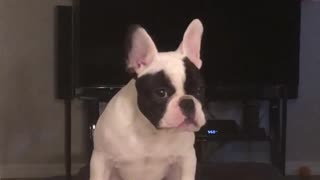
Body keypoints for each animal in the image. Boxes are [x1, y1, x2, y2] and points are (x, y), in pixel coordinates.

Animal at [89, 18, 206, 180]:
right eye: (161, 93)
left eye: (199, 90)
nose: (188, 102)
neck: (150, 130)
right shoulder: (101, 159)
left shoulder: (186, 159)